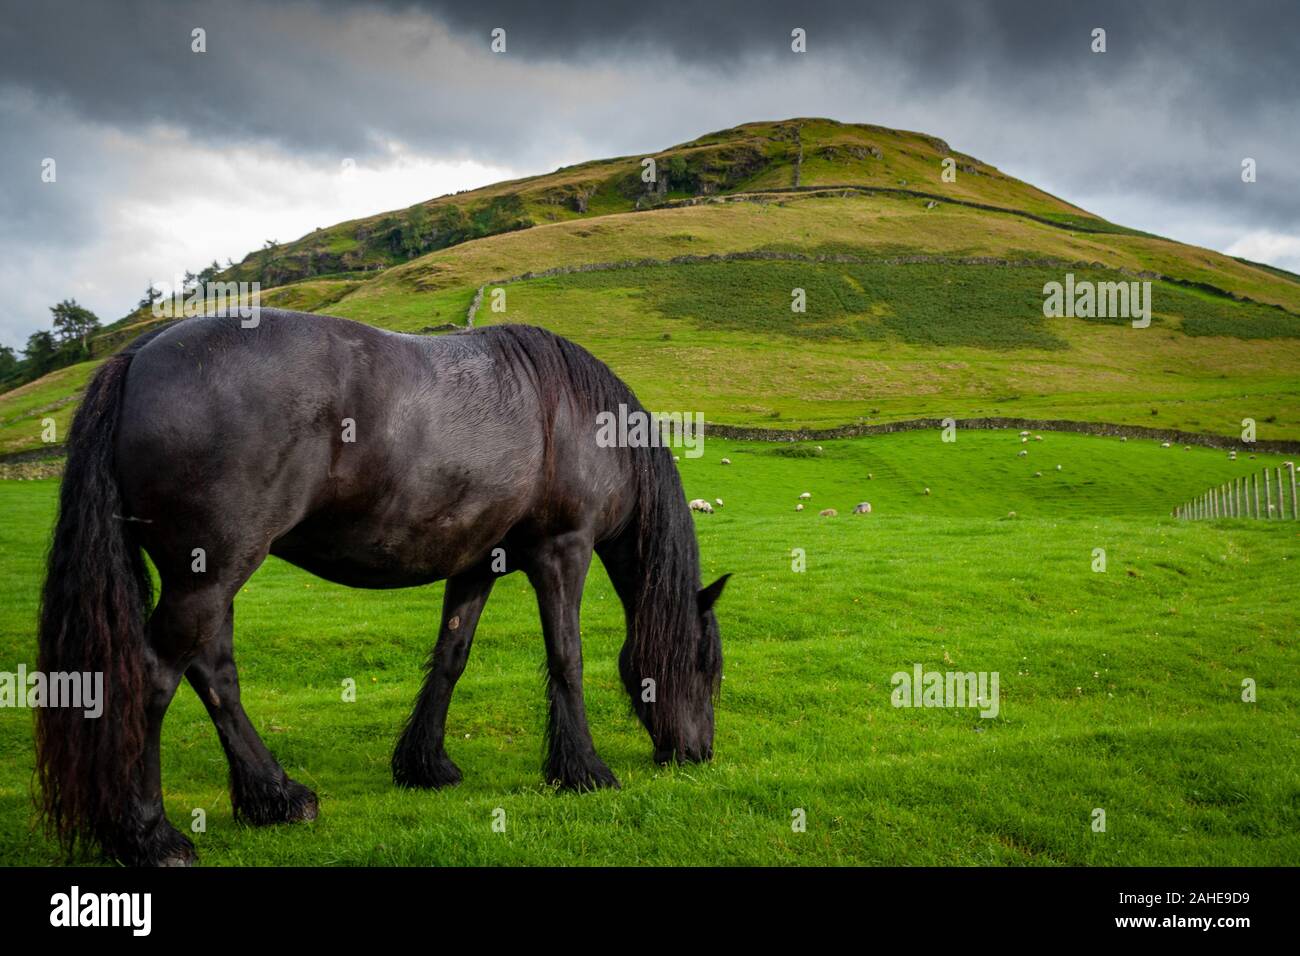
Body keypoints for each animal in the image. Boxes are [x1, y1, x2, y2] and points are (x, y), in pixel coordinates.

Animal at [35, 312, 728, 868]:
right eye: (706, 666)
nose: (698, 753)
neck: (582, 420)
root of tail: (139, 355)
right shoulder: (564, 550)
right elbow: (567, 660)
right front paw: (583, 770)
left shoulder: (478, 563)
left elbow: (451, 658)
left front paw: (425, 763)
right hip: (209, 573)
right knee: (156, 678)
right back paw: (150, 835)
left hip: (211, 575)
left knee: (214, 673)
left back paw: (274, 797)